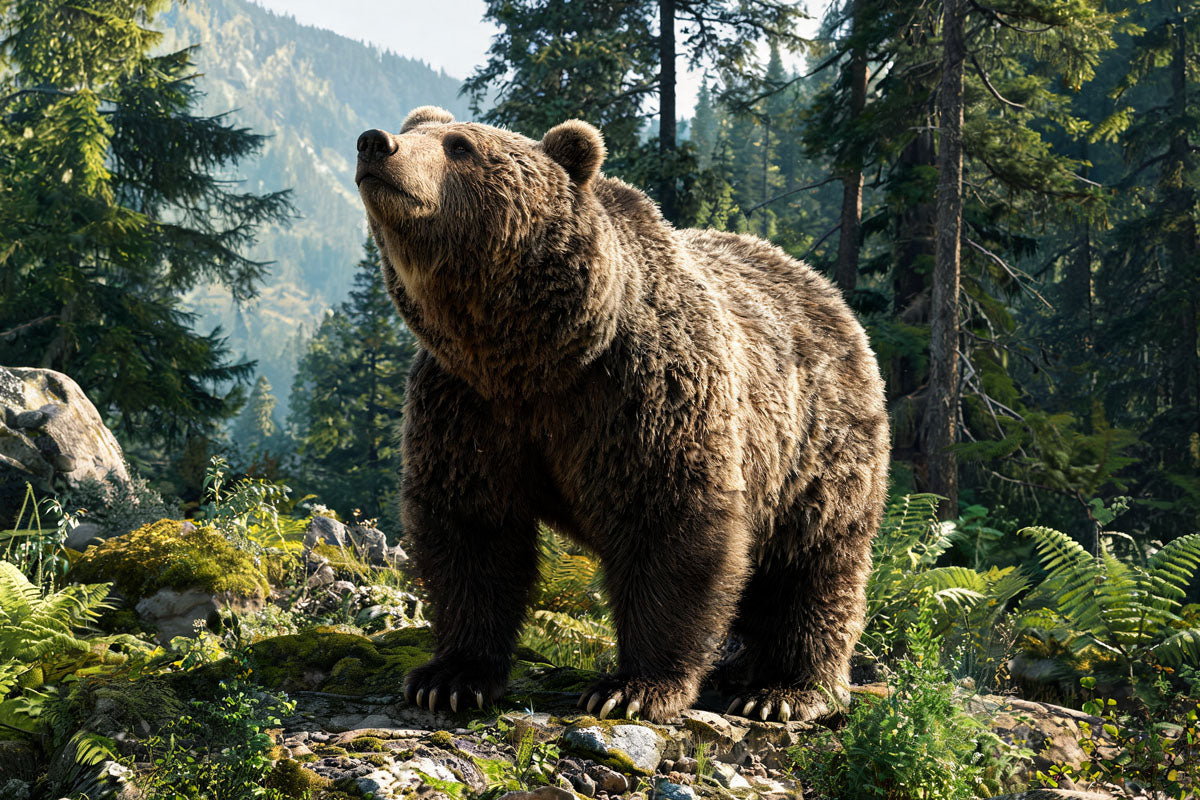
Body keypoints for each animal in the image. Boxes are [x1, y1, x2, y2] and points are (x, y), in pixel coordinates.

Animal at [354, 105, 890, 724]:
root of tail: (826, 290)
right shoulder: (466, 403)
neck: (535, 356)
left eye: (460, 145)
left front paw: (632, 687)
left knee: (812, 566)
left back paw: (784, 691)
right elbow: (471, 529)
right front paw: (448, 678)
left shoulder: (642, 391)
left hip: (818, 448)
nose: (376, 143)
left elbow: (668, 524)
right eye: (413, 128)